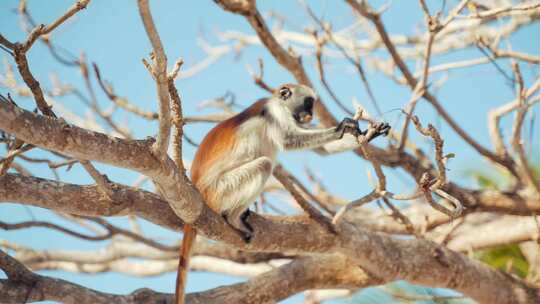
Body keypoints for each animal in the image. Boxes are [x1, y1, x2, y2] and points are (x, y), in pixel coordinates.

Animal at [175, 83, 390, 304]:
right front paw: (342, 127)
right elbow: (289, 140)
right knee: (264, 164)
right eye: (308, 103)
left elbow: (322, 149)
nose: (310, 114)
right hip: (219, 189)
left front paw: (370, 133)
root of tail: (198, 187)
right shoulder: (275, 112)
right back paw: (234, 218)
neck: (277, 102)